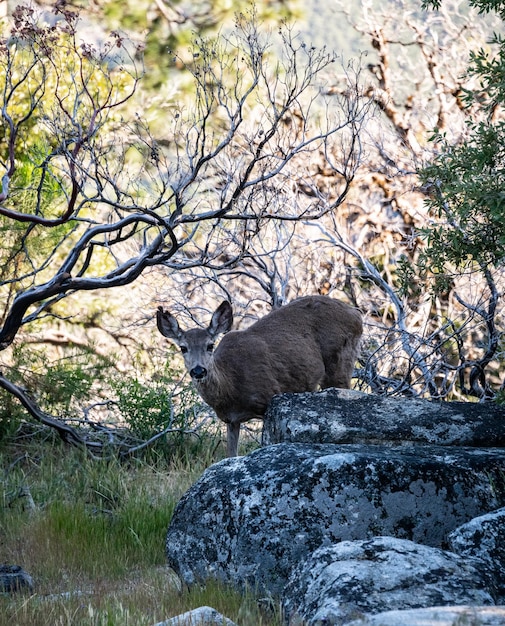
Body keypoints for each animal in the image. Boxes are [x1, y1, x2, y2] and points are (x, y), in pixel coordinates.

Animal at [156, 294, 360, 456]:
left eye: (210, 345)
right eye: (183, 348)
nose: (198, 370)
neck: (230, 388)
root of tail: (356, 314)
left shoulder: (269, 397)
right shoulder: (231, 420)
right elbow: (231, 455)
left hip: (340, 361)